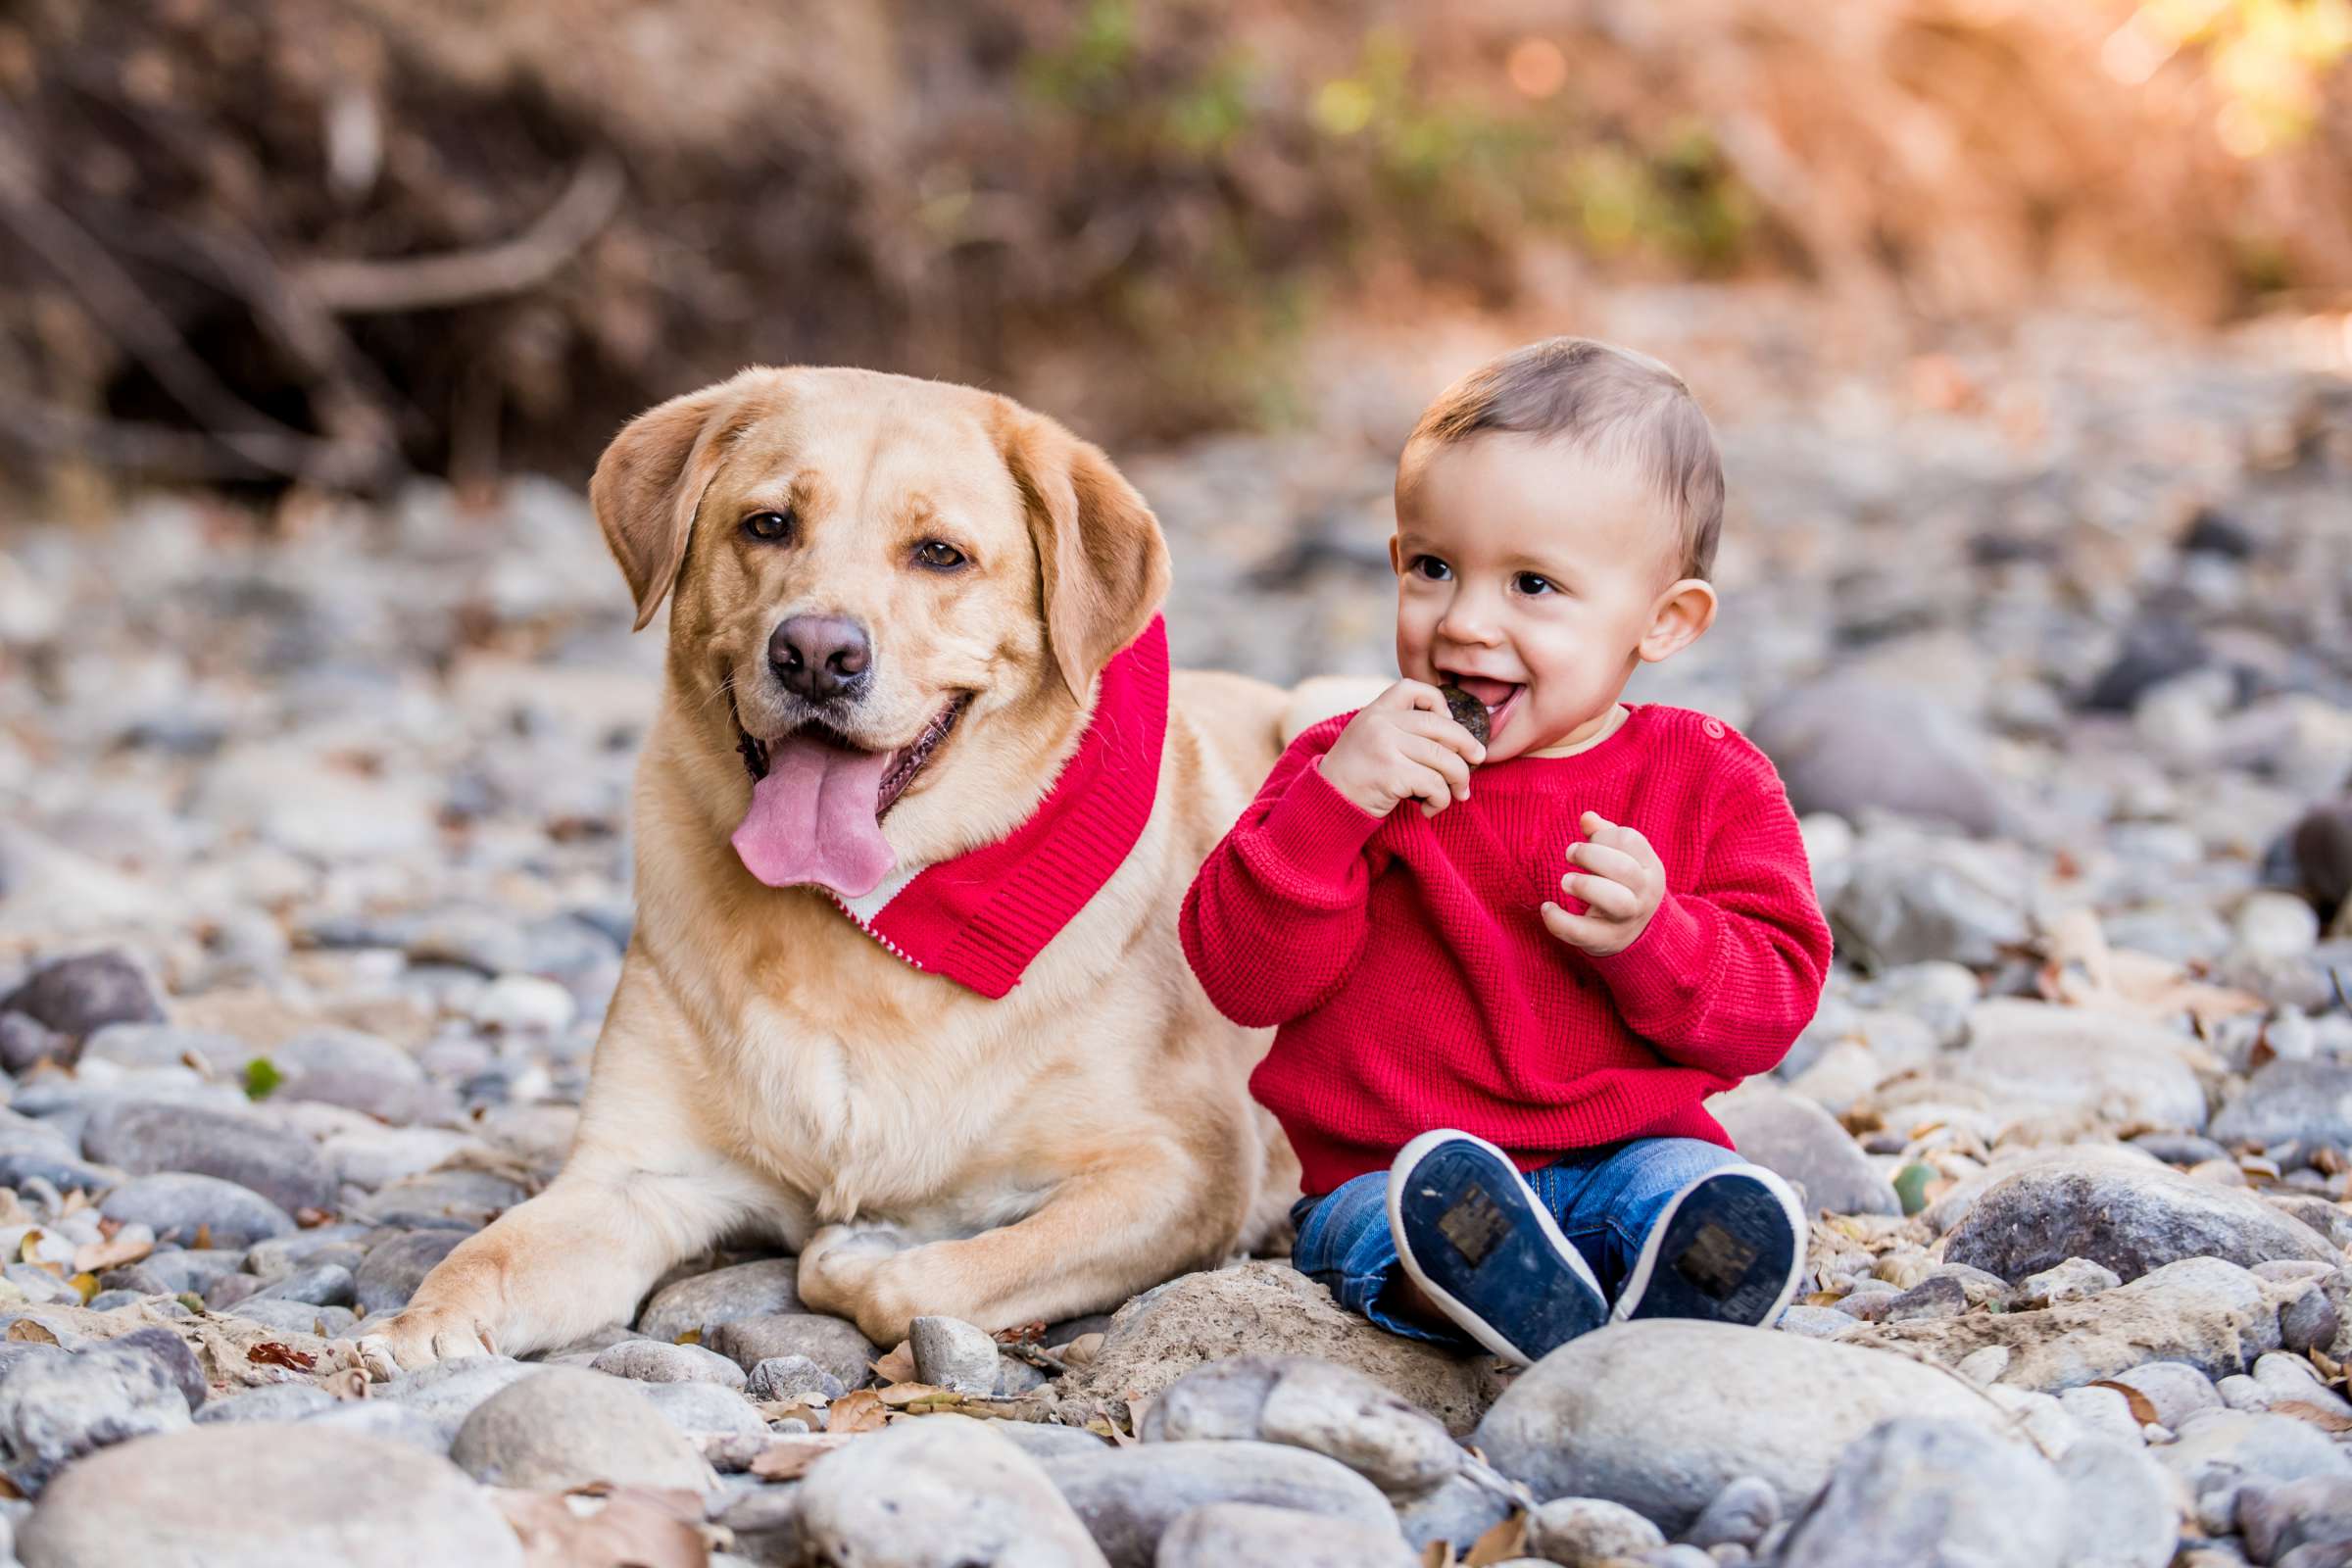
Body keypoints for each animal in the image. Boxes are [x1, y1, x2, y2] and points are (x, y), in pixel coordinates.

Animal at [357, 368, 1307, 1372]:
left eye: (940, 554)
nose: (815, 654)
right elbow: (488, 1255)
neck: (859, 921)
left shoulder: (1183, 1170)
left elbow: (919, 1278)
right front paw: (417, 1331)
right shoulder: (630, 1177)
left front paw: (868, 1243)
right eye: (768, 524)